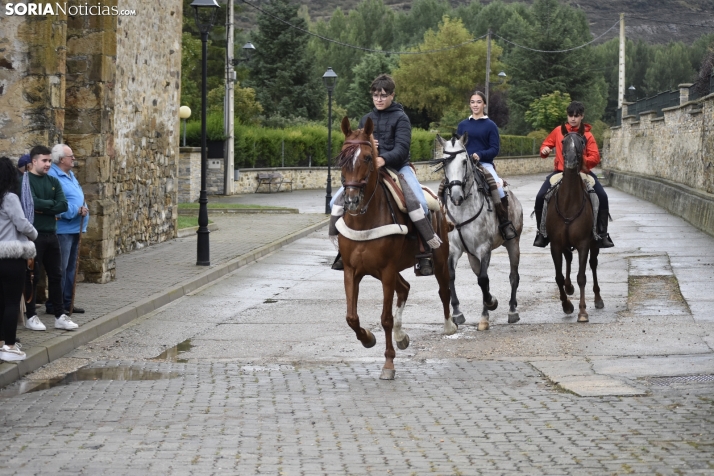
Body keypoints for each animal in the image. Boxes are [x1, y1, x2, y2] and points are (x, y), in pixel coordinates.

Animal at [336, 116, 456, 380]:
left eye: (367, 158)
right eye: (341, 157)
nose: (351, 200)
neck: (365, 219)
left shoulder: (387, 270)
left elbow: (386, 318)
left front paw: (388, 363)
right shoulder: (352, 270)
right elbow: (351, 317)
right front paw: (367, 338)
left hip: (439, 259)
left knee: (444, 291)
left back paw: (448, 326)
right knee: (405, 288)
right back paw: (402, 336)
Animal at [428, 132, 524, 330]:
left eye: (465, 161)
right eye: (444, 163)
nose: (456, 196)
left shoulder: (483, 248)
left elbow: (483, 279)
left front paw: (490, 304)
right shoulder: (454, 249)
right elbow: (452, 277)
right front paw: (457, 314)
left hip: (513, 243)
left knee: (513, 276)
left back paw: (512, 310)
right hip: (472, 256)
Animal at [544, 124, 600, 322]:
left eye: (582, 142)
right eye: (563, 141)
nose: (569, 160)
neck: (568, 203)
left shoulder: (584, 243)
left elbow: (582, 276)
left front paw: (582, 312)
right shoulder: (555, 244)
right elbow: (558, 277)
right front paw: (567, 305)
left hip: (594, 244)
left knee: (593, 264)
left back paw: (598, 299)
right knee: (568, 259)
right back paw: (569, 289)